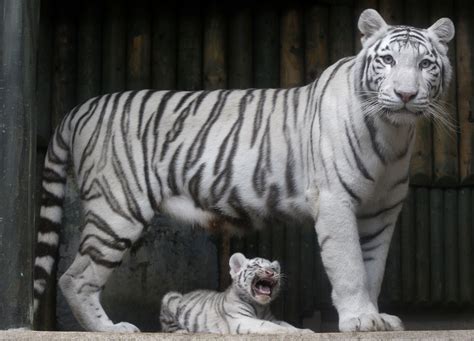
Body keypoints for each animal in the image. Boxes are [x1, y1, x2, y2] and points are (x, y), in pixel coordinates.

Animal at [34, 8, 456, 332]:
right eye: (387, 60)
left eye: (425, 64)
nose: (405, 95)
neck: (393, 133)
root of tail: (80, 108)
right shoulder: (335, 202)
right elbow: (350, 265)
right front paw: (361, 320)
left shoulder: (380, 213)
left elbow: (373, 268)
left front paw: (377, 316)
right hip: (116, 209)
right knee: (75, 277)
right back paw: (110, 329)